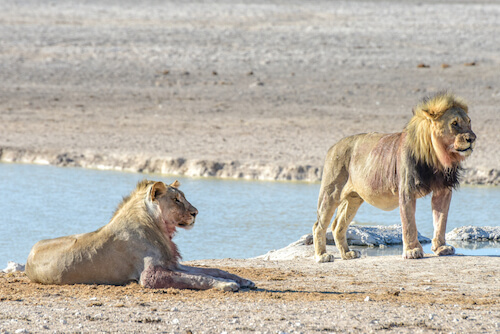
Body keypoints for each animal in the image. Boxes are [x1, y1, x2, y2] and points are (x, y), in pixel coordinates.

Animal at [24, 179, 254, 290]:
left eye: (184, 197)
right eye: (177, 200)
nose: (195, 212)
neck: (158, 227)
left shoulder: (172, 264)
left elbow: (211, 270)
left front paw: (243, 280)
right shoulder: (149, 275)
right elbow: (198, 278)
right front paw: (226, 285)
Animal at [312, 92, 476, 262]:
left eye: (469, 122)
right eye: (454, 123)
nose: (472, 138)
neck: (437, 157)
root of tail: (333, 146)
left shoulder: (443, 190)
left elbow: (440, 221)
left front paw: (441, 248)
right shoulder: (407, 190)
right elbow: (409, 223)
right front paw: (412, 251)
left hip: (353, 198)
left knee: (338, 225)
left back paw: (347, 254)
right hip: (331, 193)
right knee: (319, 225)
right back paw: (322, 255)